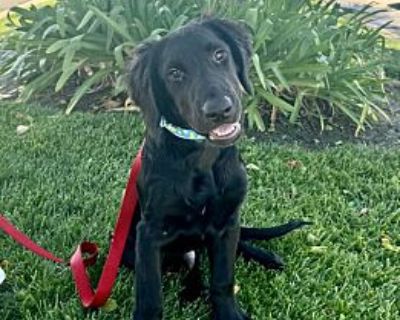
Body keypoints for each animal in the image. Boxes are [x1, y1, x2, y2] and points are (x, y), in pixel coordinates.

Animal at [125, 18, 310, 320]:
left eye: (219, 55)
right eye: (174, 73)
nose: (219, 110)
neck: (201, 158)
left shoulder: (226, 222)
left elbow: (223, 278)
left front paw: (228, 313)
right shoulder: (150, 233)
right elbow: (150, 294)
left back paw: (265, 256)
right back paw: (191, 290)